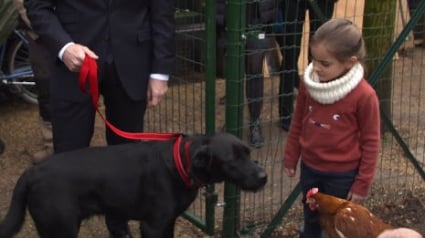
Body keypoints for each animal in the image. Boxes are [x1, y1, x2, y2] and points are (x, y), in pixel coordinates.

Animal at [0, 133, 264, 237]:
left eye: (248, 153)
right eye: (233, 160)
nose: (264, 176)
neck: (181, 161)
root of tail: (32, 172)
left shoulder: (168, 222)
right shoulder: (152, 226)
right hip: (60, 229)